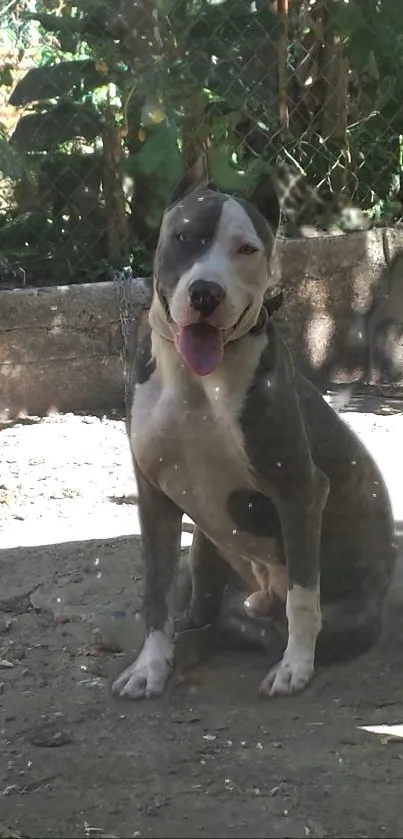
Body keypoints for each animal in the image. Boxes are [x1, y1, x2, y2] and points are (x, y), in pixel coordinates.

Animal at [112, 158, 396, 704]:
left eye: (246, 249)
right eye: (185, 237)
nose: (206, 293)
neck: (197, 380)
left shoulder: (300, 489)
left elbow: (303, 598)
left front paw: (295, 667)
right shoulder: (154, 497)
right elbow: (156, 594)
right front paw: (150, 666)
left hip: (345, 613)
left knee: (272, 622)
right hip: (204, 547)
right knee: (201, 604)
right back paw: (191, 634)